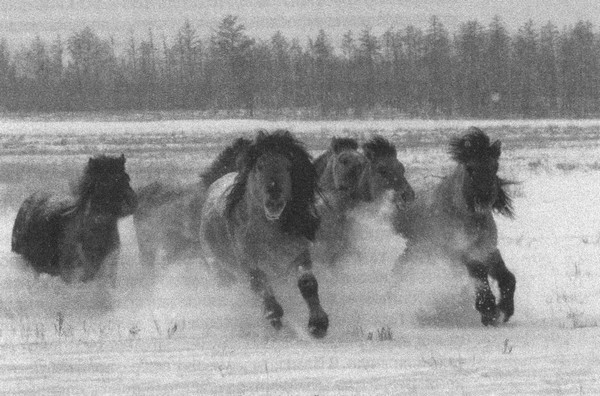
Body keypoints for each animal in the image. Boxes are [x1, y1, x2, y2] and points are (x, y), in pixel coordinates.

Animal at [200, 130, 328, 338]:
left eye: (289, 166)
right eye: (259, 166)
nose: (274, 201)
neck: (270, 234)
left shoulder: (299, 255)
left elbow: (308, 284)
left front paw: (318, 324)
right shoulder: (249, 263)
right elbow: (262, 289)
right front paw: (279, 323)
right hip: (221, 271)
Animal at [394, 128, 516, 326]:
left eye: (495, 167)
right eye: (470, 168)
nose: (484, 197)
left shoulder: (487, 250)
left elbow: (507, 277)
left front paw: (505, 310)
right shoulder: (462, 252)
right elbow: (479, 275)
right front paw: (489, 311)